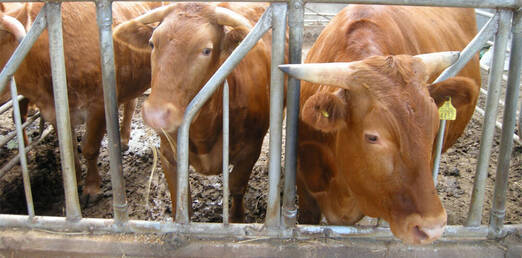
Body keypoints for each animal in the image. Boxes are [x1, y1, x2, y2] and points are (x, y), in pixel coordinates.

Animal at [0, 1, 160, 200]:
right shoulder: (56, 112)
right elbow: (68, 149)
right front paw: (75, 180)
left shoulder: (98, 107)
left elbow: (89, 148)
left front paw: (92, 188)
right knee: (130, 103)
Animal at [111, 3, 270, 222]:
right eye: (152, 43)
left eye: (206, 50)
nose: (156, 115)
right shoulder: (168, 154)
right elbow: (180, 199)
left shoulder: (251, 150)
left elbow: (237, 187)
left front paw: (237, 219)